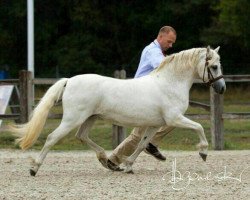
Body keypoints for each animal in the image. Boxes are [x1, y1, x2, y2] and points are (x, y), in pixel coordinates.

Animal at [9, 45, 226, 175]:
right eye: (214, 66)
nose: (222, 88)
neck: (169, 83)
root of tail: (69, 81)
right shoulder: (174, 119)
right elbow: (199, 127)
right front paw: (203, 152)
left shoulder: (155, 125)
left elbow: (142, 144)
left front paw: (128, 166)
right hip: (73, 118)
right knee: (52, 138)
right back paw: (34, 168)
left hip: (90, 118)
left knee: (82, 136)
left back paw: (106, 160)